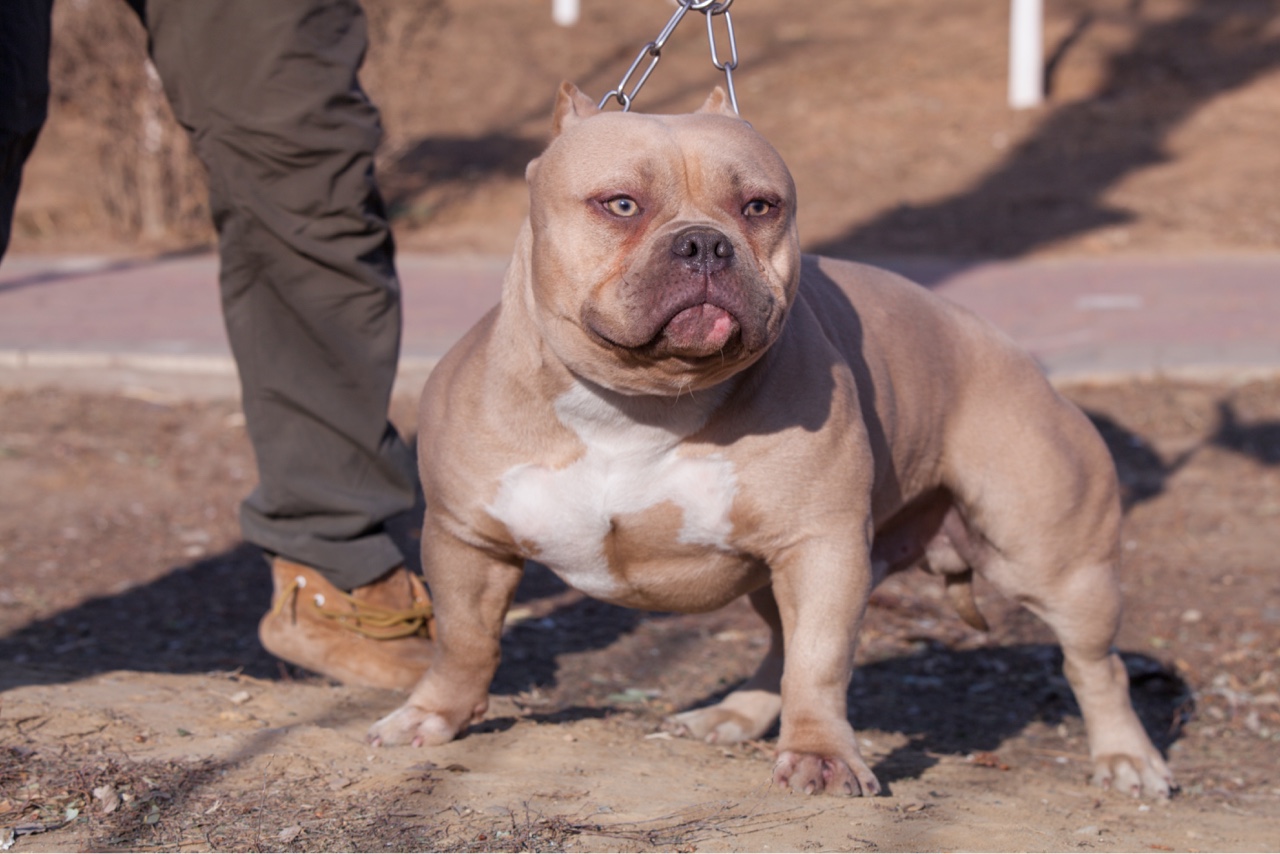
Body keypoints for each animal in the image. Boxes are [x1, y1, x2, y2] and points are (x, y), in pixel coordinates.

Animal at [366, 83, 1172, 798]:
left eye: (759, 207)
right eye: (620, 204)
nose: (704, 245)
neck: (636, 403)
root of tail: (1013, 352)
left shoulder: (821, 545)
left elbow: (820, 660)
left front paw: (821, 757)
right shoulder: (466, 539)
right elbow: (465, 639)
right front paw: (433, 716)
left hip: (1051, 560)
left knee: (1096, 664)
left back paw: (1129, 760)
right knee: (779, 641)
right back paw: (733, 715)